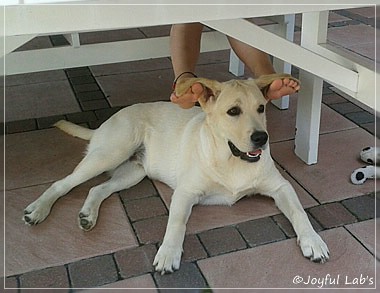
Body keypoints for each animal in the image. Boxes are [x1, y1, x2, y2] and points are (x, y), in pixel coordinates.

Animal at [22, 73, 328, 274]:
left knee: (98, 188)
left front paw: (313, 241)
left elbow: (299, 212)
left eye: (261, 108)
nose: (262, 138)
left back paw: (88, 215)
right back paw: (38, 209)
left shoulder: (281, 187)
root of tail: (104, 124)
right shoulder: (185, 192)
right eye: (233, 111)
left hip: (133, 171)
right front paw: (168, 253)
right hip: (110, 153)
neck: (231, 158)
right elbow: (177, 223)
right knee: (62, 183)